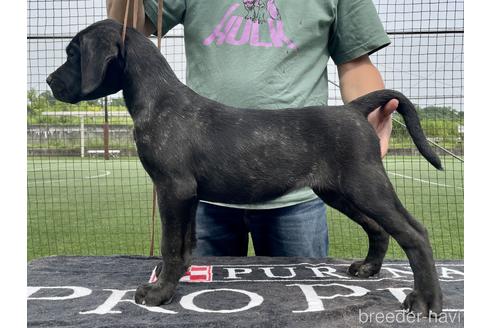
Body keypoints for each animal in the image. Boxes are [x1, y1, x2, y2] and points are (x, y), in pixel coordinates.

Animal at [48, 18, 444, 316]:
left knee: (415, 233)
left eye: (73, 54)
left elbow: (169, 245)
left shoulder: (173, 188)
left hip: (365, 185)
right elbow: (185, 244)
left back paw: (426, 300)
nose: (50, 81)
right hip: (341, 191)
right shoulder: (187, 195)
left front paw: (158, 293)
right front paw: (177, 280)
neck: (157, 99)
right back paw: (369, 268)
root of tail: (354, 110)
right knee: (378, 228)